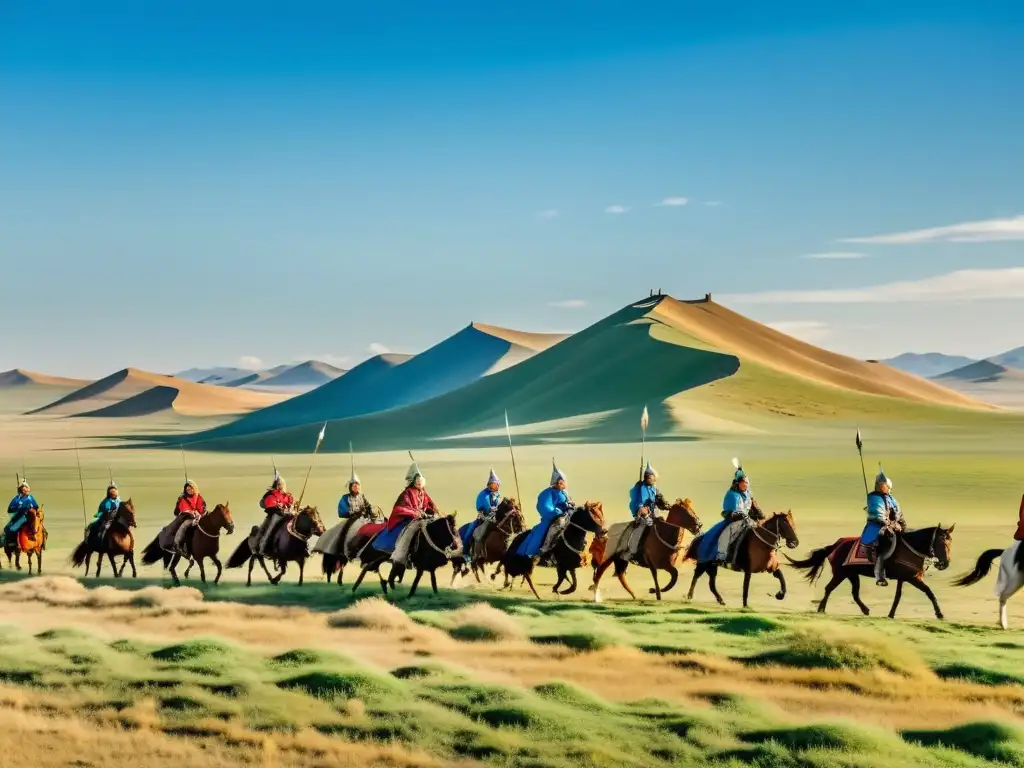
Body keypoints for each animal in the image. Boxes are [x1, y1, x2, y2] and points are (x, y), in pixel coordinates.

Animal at [786, 524, 954, 618]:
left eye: (950, 542)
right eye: (940, 542)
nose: (944, 563)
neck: (910, 548)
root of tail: (836, 544)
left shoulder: (905, 577)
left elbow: (904, 595)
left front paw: (891, 614)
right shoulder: (911, 578)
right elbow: (927, 592)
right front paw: (939, 614)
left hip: (852, 575)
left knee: (854, 593)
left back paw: (865, 610)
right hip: (841, 574)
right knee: (829, 588)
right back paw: (821, 608)